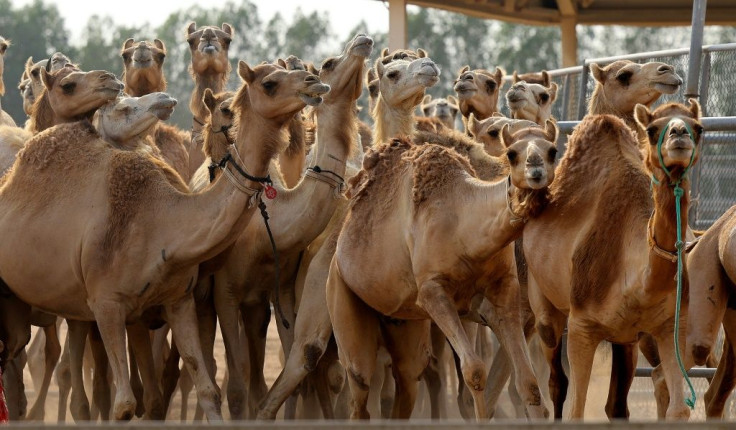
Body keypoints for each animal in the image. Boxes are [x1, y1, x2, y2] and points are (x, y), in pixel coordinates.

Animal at [0, 60, 328, 424]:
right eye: (270, 83)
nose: (314, 82)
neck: (164, 225)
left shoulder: (178, 300)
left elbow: (206, 390)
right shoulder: (106, 304)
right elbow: (125, 405)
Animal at [524, 99, 700, 418]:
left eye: (698, 128)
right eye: (652, 129)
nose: (679, 134)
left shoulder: (670, 325)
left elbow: (679, 408)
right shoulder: (581, 326)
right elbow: (576, 411)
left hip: (628, 338)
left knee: (616, 403)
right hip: (543, 303)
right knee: (557, 380)